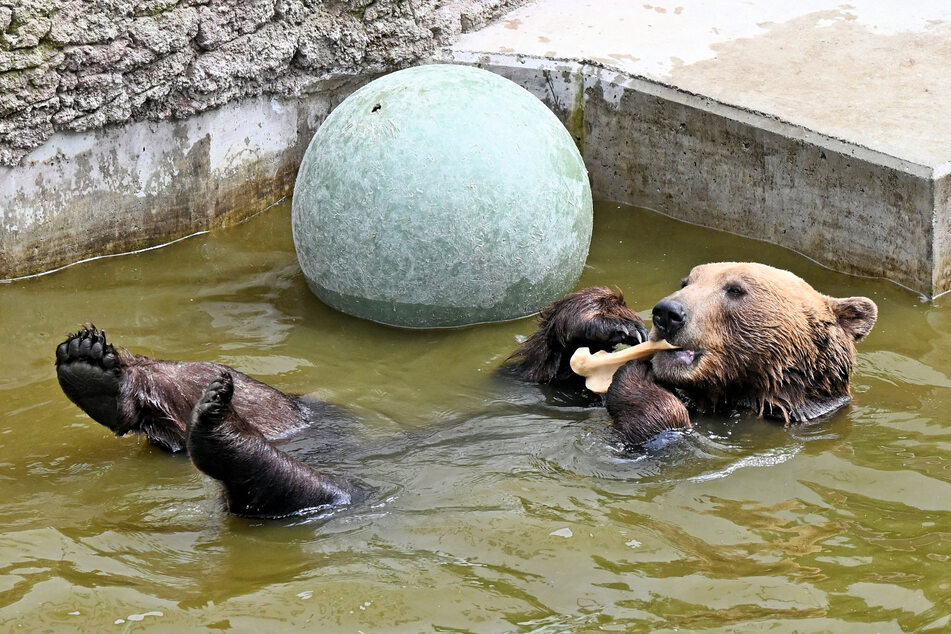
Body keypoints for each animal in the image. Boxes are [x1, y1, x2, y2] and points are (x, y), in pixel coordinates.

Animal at [506, 260, 876, 442]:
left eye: (735, 289)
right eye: (687, 282)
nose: (667, 313)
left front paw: (636, 378)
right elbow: (525, 378)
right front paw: (607, 318)